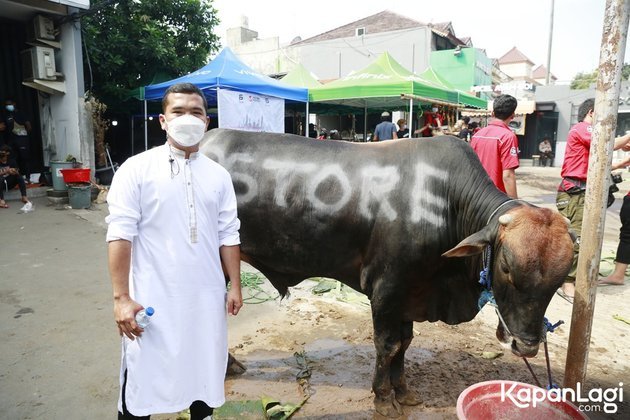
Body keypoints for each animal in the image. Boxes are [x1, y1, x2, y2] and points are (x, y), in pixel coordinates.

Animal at [200, 130, 576, 418]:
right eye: (506, 267)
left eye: (559, 280)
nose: (526, 346)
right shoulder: (386, 289)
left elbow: (405, 343)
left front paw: (403, 391)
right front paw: (383, 398)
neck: (444, 202)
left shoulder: (411, 292)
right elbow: (388, 345)